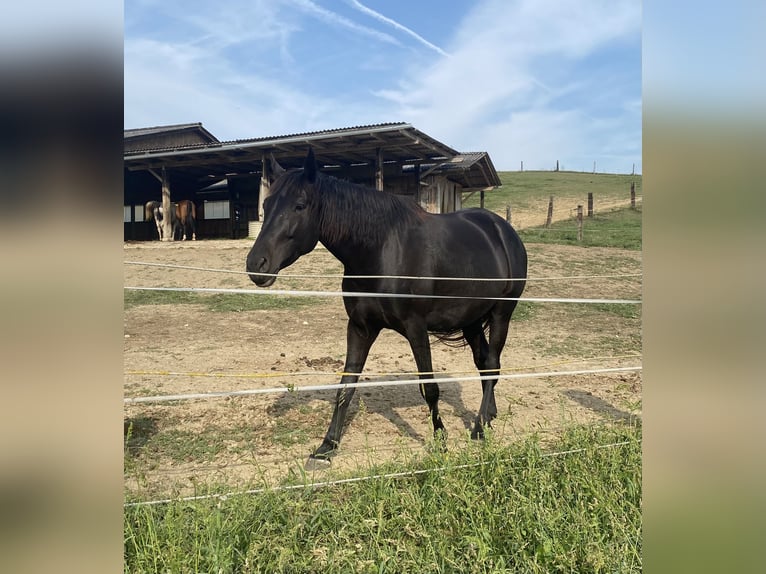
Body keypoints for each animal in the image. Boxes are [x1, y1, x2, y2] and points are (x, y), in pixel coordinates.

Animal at [246, 149, 527, 470]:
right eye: (266, 205)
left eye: (299, 205)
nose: (256, 265)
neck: (381, 251)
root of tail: (502, 230)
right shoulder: (360, 327)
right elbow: (345, 386)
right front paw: (326, 447)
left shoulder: (416, 328)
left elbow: (429, 387)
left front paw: (440, 441)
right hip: (470, 319)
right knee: (484, 363)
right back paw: (487, 417)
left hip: (502, 313)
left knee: (492, 364)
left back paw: (479, 429)